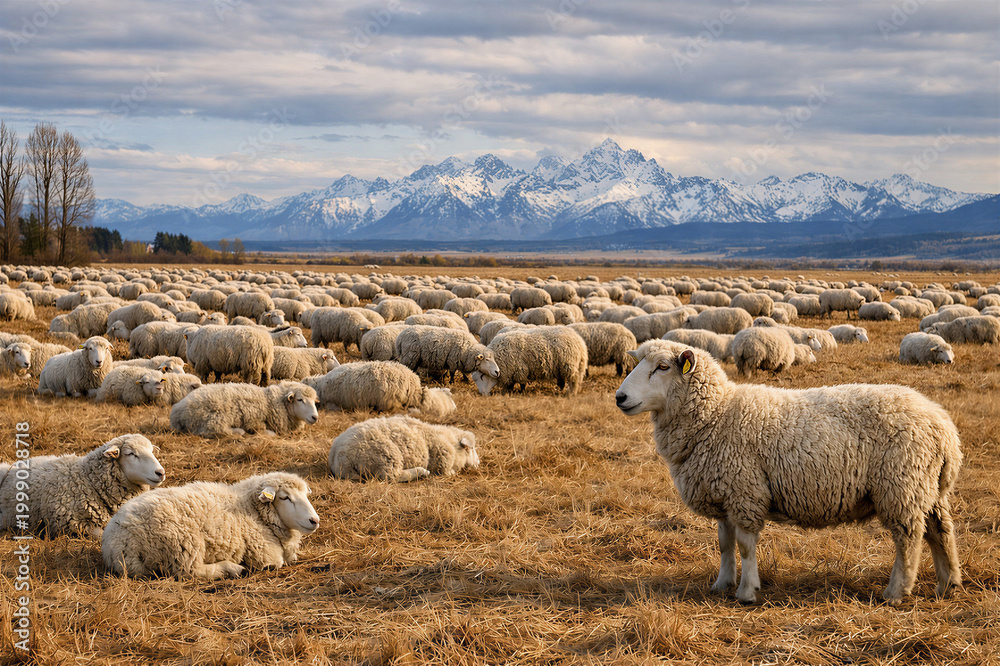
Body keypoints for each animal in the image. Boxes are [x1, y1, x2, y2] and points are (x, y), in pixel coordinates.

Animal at [0, 434, 164, 538]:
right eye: (131, 454)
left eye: (151, 451)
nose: (161, 472)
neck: (88, 479)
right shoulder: (73, 524)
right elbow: (101, 534)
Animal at [102, 472, 319, 579]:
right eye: (284, 497)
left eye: (305, 495)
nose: (314, 521)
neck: (250, 507)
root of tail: (116, 542)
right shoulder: (265, 555)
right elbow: (276, 563)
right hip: (183, 543)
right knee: (190, 572)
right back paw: (232, 569)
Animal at [169, 381, 318, 438]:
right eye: (300, 400)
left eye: (314, 401)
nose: (315, 417)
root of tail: (177, 412)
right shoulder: (255, 421)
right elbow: (265, 431)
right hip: (215, 417)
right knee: (210, 431)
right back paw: (239, 431)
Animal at [329, 415, 478, 482]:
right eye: (472, 449)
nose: (478, 463)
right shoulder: (442, 457)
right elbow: (445, 471)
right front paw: (451, 472)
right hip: (386, 455)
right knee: (392, 477)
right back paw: (421, 471)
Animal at [615, 340, 963, 605]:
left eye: (663, 367)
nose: (620, 397)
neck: (717, 415)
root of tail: (943, 426)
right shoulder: (724, 494)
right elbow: (725, 544)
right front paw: (721, 584)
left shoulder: (745, 492)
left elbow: (745, 546)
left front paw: (747, 591)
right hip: (928, 488)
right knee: (941, 531)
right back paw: (948, 583)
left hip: (901, 486)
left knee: (909, 539)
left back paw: (895, 592)